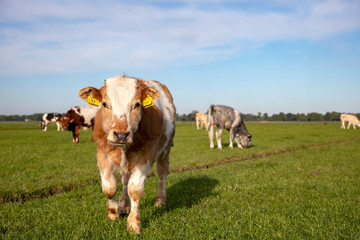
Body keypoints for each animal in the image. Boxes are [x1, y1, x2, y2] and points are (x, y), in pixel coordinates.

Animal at [77, 75, 176, 234]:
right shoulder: (102, 155)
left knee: (162, 174)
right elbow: (109, 188)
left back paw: (160, 200)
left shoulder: (145, 157)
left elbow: (135, 190)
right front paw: (113, 214)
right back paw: (123, 205)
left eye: (137, 104)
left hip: (165, 149)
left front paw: (134, 224)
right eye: (104, 104)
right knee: (124, 180)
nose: (121, 134)